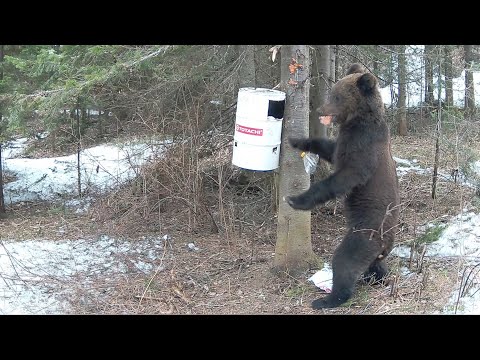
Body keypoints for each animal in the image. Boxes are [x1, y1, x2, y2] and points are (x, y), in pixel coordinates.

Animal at [286, 62, 400, 310]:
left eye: (337, 96)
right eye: (331, 93)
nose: (320, 110)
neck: (356, 120)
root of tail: (387, 244)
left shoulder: (364, 147)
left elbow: (346, 176)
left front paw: (295, 199)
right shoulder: (343, 142)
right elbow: (328, 148)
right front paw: (297, 140)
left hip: (364, 233)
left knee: (345, 261)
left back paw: (327, 299)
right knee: (374, 265)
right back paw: (378, 277)